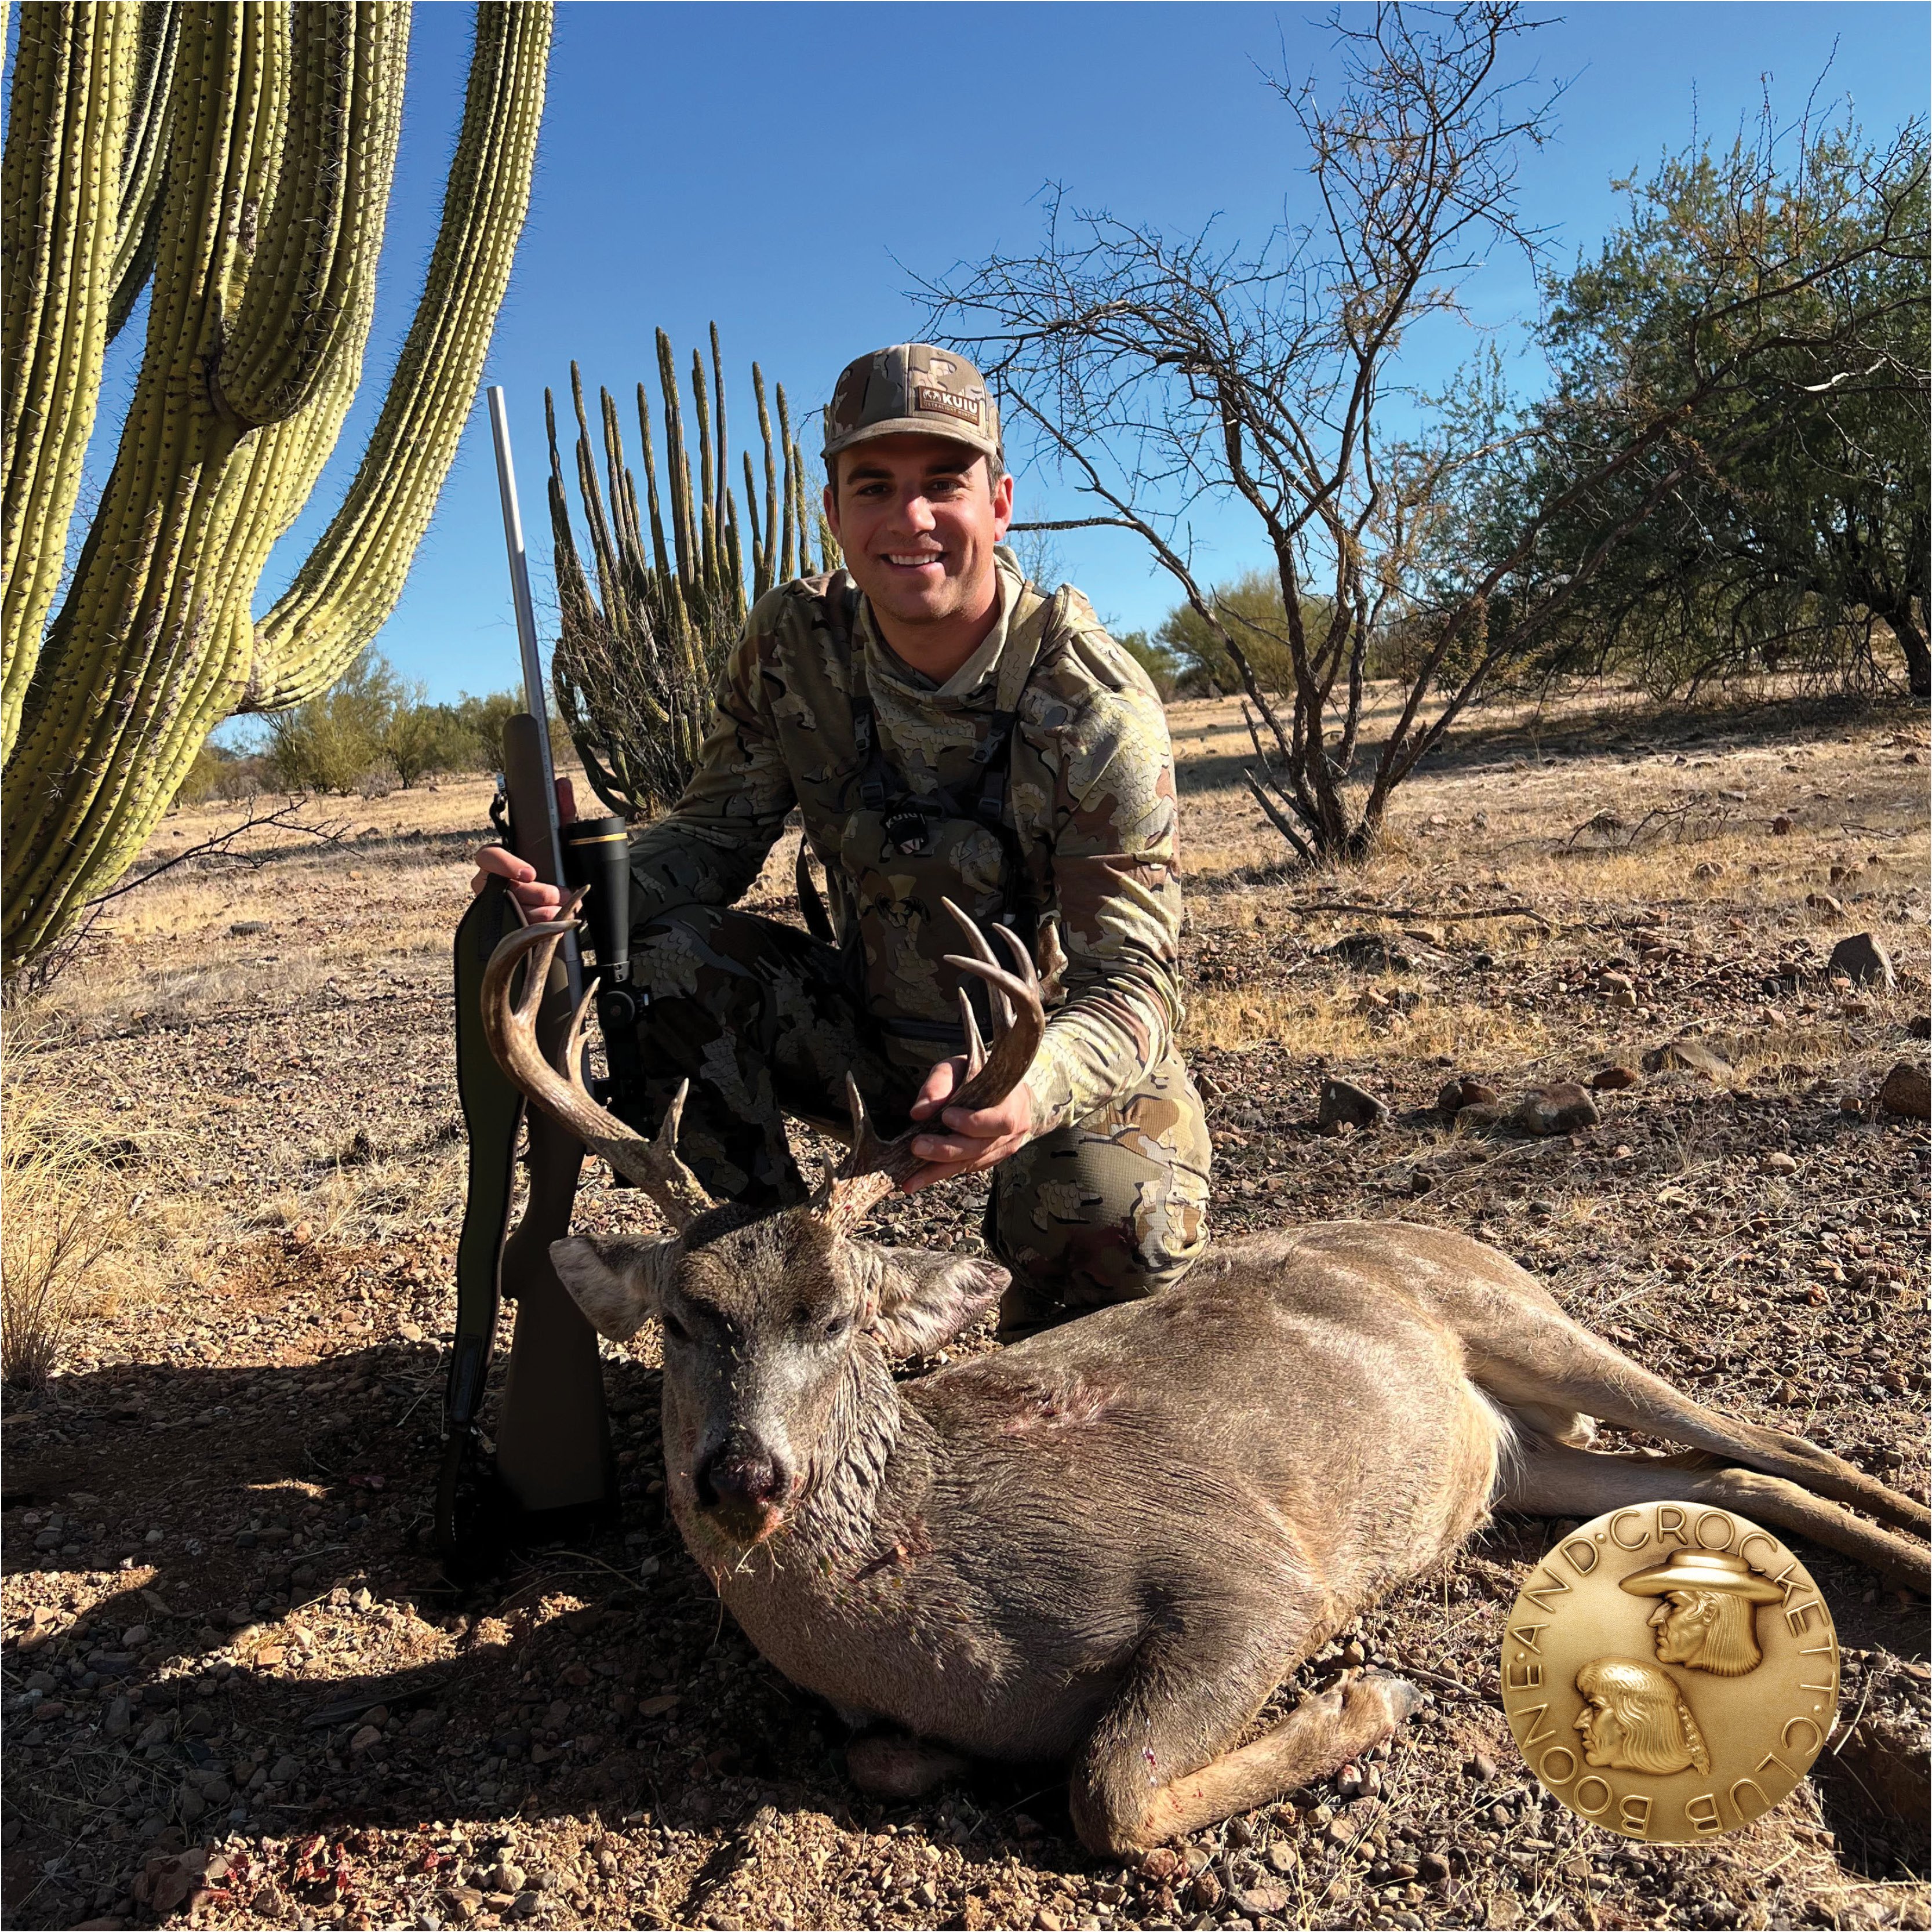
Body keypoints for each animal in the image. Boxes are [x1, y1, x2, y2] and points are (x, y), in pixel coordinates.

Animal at [482, 905, 1929, 1858]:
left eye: (838, 1318)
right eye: (682, 1318)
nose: (741, 1473)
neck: (929, 1596)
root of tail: (1449, 1233)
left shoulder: (1246, 1574)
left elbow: (1106, 1788)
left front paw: (1374, 1693)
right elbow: (891, 1758)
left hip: (1528, 1321)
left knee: (1776, 1441)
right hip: (1521, 1455)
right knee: (1720, 1477)